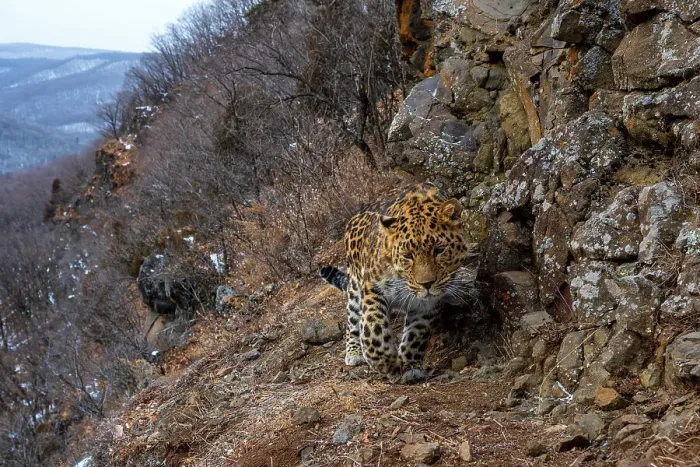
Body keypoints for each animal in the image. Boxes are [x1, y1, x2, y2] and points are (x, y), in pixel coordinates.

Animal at [320, 183, 475, 383]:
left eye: (439, 250)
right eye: (407, 255)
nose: (426, 284)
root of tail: (353, 218)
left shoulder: (426, 305)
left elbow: (416, 335)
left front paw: (409, 366)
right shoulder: (373, 288)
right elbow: (372, 327)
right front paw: (386, 363)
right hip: (354, 287)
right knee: (352, 321)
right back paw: (354, 353)